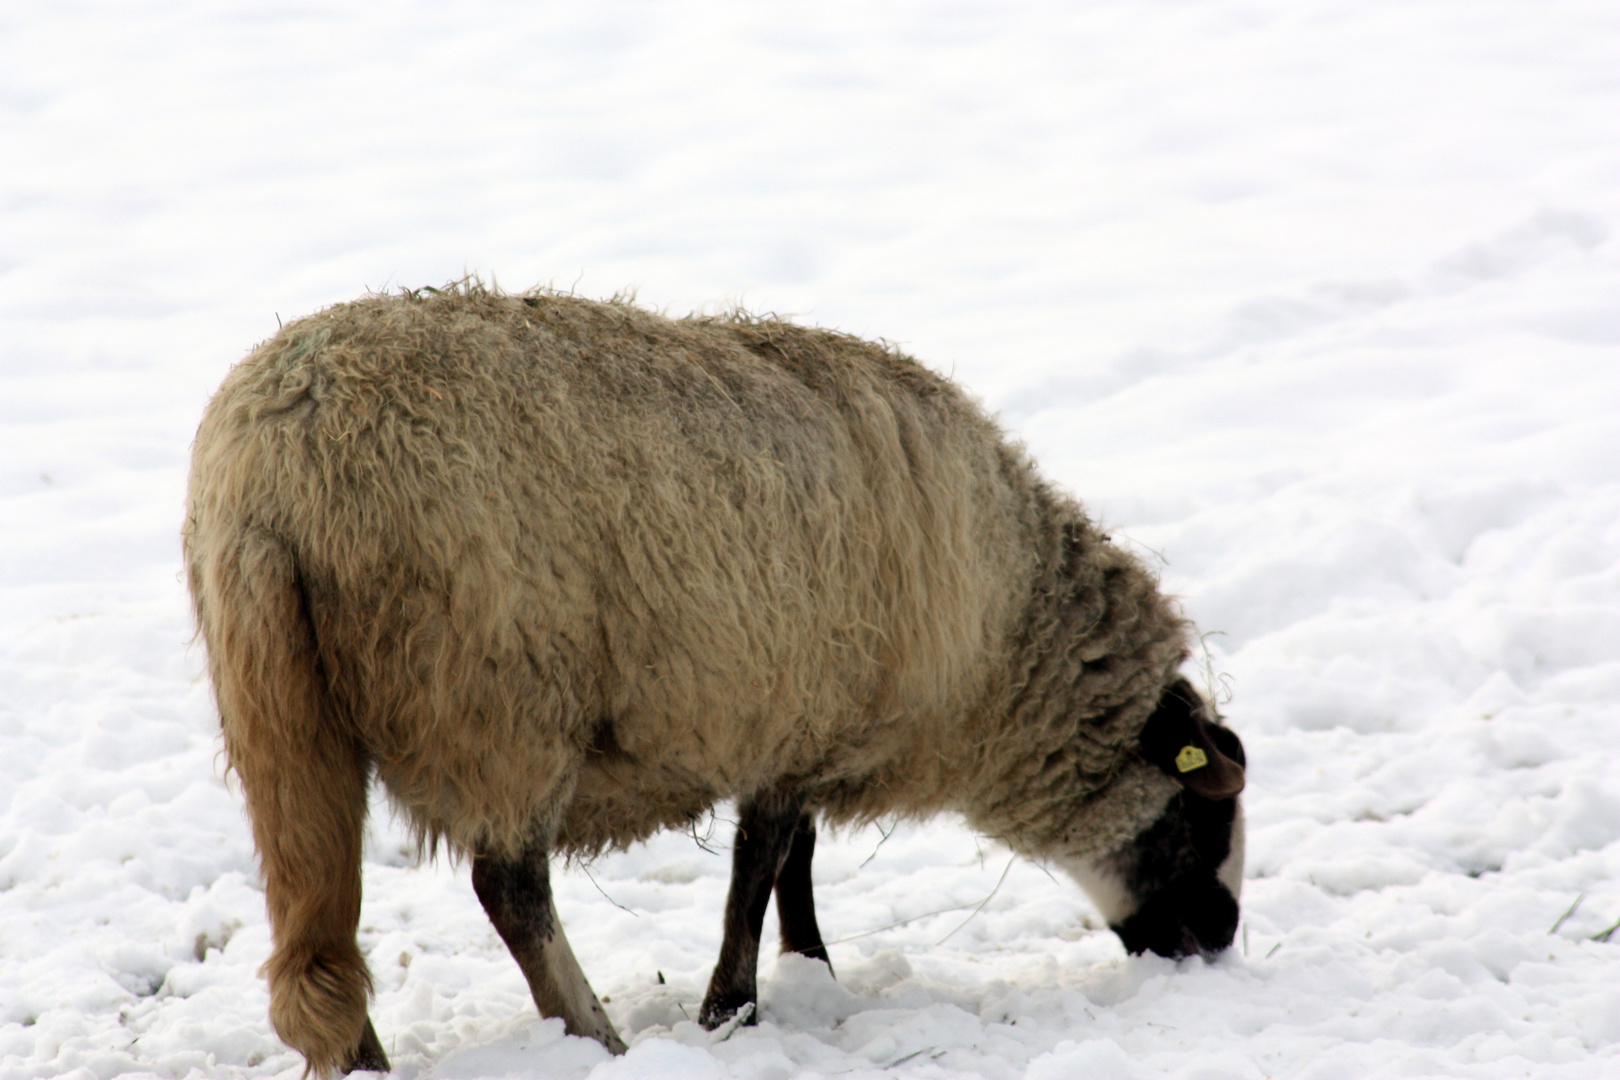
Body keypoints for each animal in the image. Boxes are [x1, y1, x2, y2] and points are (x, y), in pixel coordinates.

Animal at [183, 283, 1244, 1075]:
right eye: (1206, 812)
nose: (1219, 938)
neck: (1001, 635)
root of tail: (273, 477)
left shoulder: (803, 713)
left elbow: (790, 860)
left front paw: (808, 969)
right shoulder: (791, 709)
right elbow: (762, 863)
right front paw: (735, 1007)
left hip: (287, 714)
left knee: (318, 920)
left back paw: (366, 1062)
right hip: (493, 701)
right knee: (510, 888)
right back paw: (595, 1037)